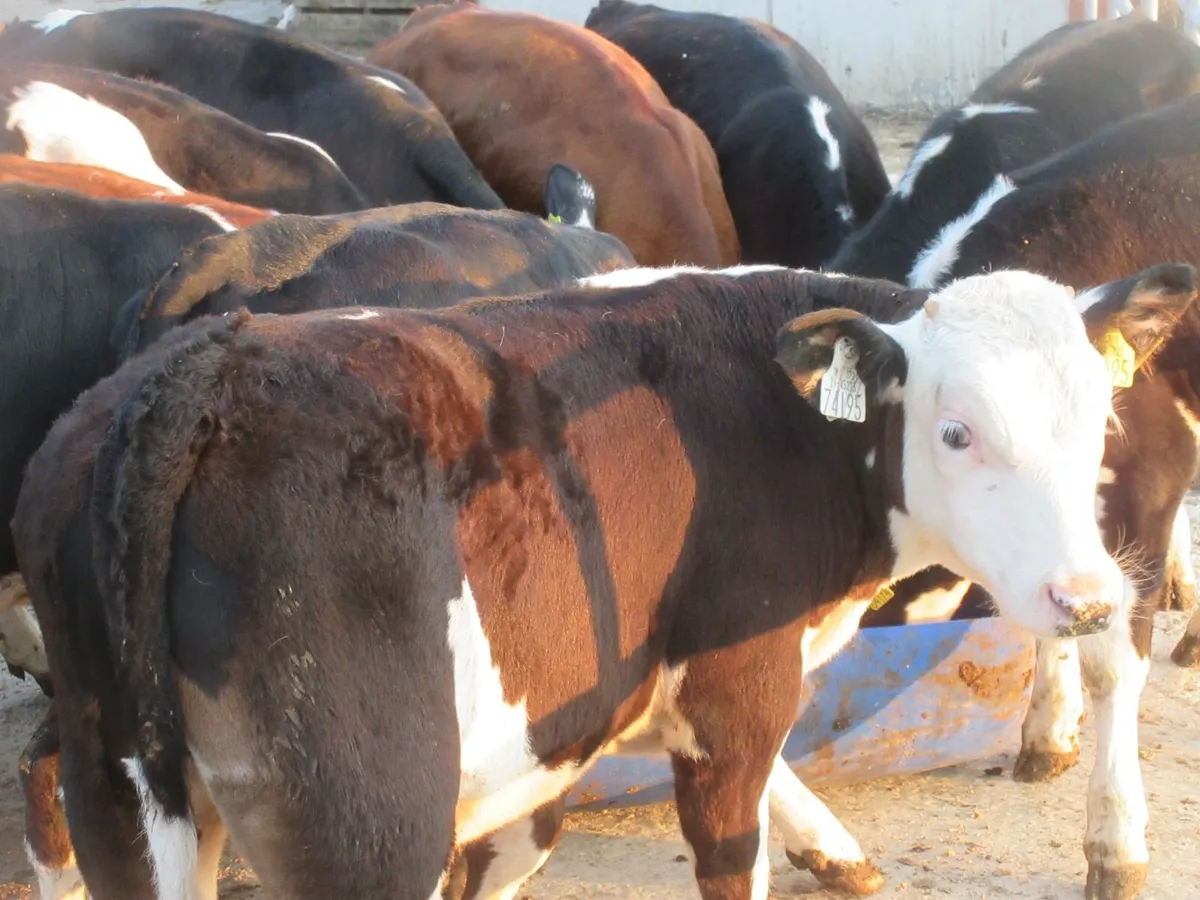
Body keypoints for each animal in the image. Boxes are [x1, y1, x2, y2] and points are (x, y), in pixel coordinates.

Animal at [14, 259, 1192, 899]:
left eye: (1099, 418)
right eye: (956, 432)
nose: (1087, 594)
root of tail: (204, 374)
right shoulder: (735, 690)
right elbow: (732, 842)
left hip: (122, 781)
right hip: (362, 823)